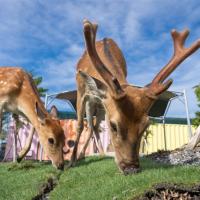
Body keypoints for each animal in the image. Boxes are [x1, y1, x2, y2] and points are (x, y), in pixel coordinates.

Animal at [68, 19, 200, 174]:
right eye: (113, 126)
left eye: (146, 125)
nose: (131, 168)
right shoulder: (81, 90)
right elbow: (79, 126)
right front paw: (71, 162)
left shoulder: (105, 104)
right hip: (91, 102)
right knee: (88, 125)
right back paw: (80, 156)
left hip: (99, 106)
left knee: (93, 126)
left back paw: (100, 153)